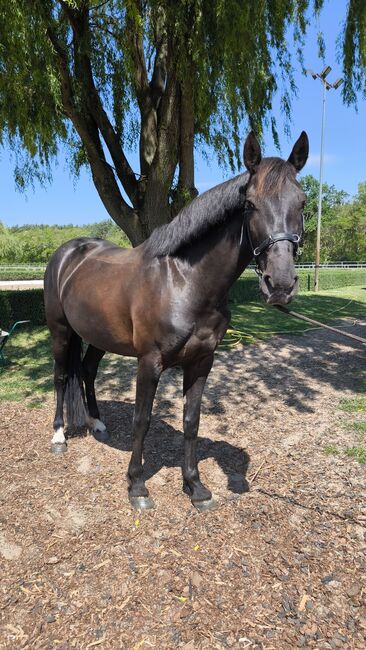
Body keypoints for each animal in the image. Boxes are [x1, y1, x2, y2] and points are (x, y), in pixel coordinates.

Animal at [44, 129, 310, 508]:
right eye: (249, 204)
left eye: (302, 203)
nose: (281, 285)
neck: (185, 281)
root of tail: (69, 253)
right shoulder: (149, 362)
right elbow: (142, 420)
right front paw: (137, 485)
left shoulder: (201, 361)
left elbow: (191, 421)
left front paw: (195, 487)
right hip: (60, 331)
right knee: (61, 376)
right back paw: (58, 437)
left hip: (99, 336)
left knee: (88, 370)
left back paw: (97, 424)